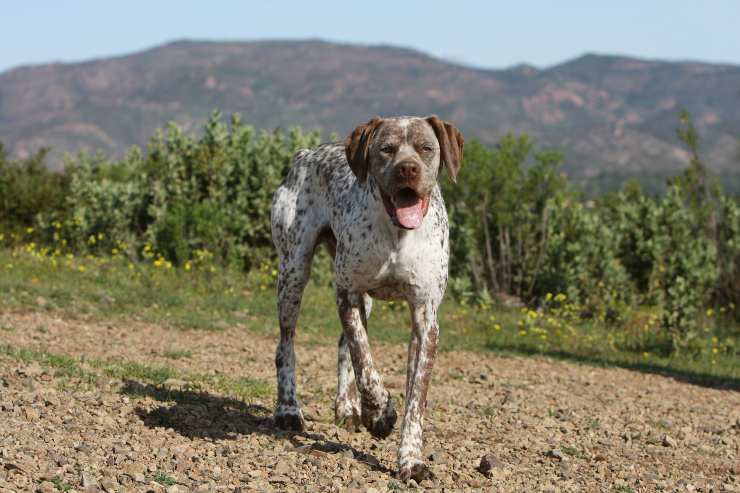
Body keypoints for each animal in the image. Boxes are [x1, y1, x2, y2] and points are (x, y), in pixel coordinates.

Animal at [268, 114, 466, 480]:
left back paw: (347, 408)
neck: (398, 234)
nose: (407, 169)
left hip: (364, 300)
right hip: (293, 272)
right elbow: (366, 365)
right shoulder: (347, 293)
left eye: (426, 148)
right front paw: (381, 413)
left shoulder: (425, 319)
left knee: (341, 344)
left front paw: (411, 459)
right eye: (386, 149)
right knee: (286, 345)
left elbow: (415, 398)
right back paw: (288, 410)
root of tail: (306, 154)